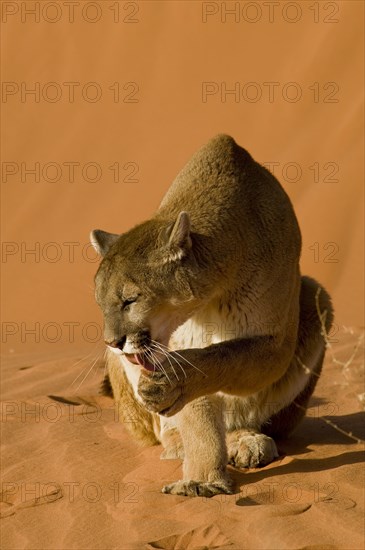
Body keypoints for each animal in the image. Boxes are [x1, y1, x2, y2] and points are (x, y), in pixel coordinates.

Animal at [89, 135, 332, 500]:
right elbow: (198, 410)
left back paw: (247, 439)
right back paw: (184, 443)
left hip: (316, 296)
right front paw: (202, 478)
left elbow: (222, 359)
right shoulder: (181, 342)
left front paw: (172, 387)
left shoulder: (274, 341)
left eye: (130, 299)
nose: (112, 342)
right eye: (100, 303)